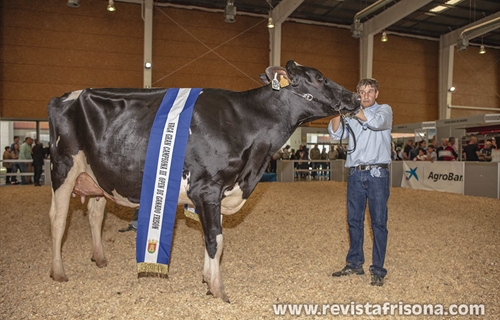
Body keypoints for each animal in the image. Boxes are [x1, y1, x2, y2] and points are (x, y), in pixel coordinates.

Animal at [47, 60, 360, 302]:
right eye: (319, 78)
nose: (356, 97)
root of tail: (62, 97)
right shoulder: (207, 189)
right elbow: (215, 241)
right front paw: (219, 291)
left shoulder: (219, 193)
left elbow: (214, 242)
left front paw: (208, 282)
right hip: (63, 168)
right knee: (59, 219)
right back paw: (58, 272)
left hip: (96, 177)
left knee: (95, 214)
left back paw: (100, 259)